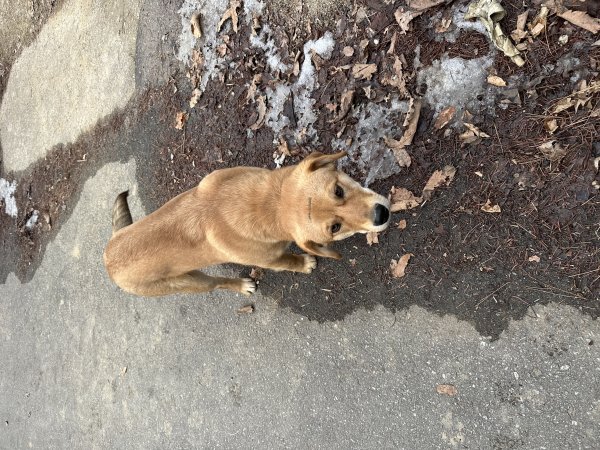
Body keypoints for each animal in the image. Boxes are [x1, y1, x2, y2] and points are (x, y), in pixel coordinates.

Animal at [103, 153, 392, 298]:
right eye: (334, 228)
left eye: (338, 190)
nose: (382, 214)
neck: (269, 206)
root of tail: (108, 256)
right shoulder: (272, 260)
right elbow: (288, 260)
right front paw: (303, 263)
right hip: (192, 282)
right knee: (217, 284)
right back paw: (241, 286)